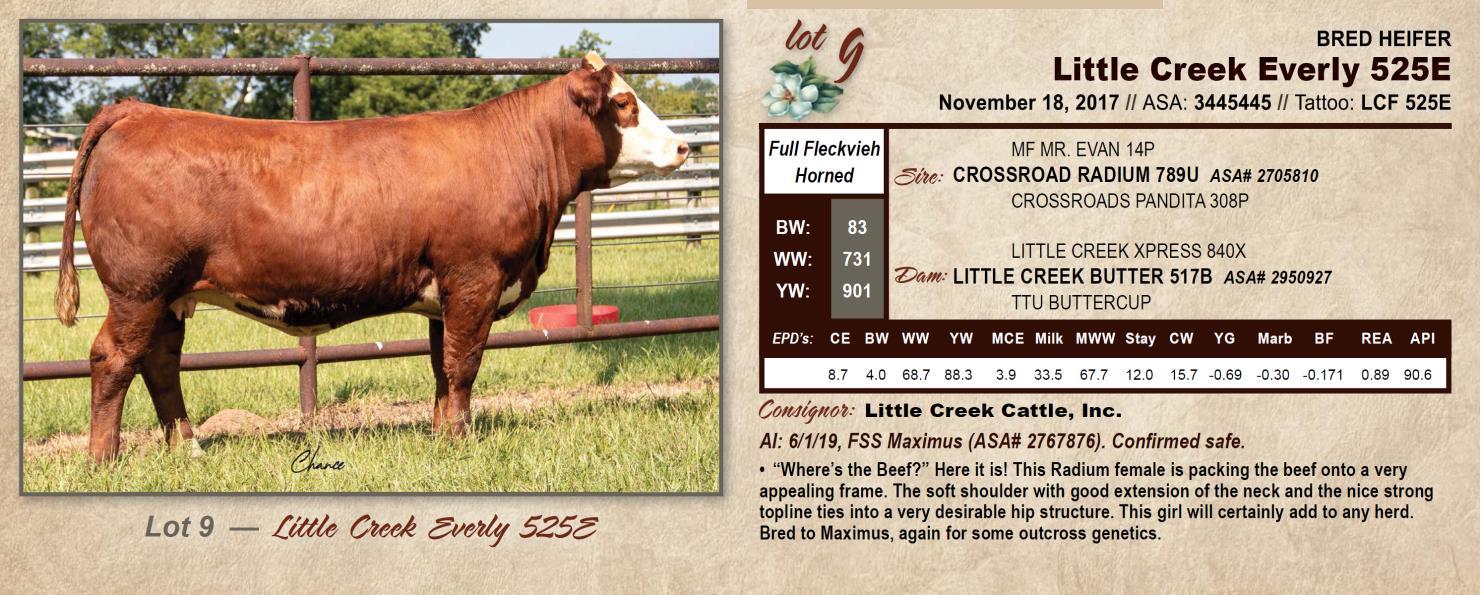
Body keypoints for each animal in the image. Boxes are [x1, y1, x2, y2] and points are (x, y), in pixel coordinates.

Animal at [54, 52, 690, 463]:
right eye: (624, 103)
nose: (684, 146)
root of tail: (138, 110)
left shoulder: (444, 296)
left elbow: (441, 369)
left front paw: (441, 437)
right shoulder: (475, 278)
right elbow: (464, 365)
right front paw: (462, 444)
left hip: (168, 296)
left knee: (160, 363)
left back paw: (188, 448)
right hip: (139, 288)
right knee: (113, 359)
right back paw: (104, 460)